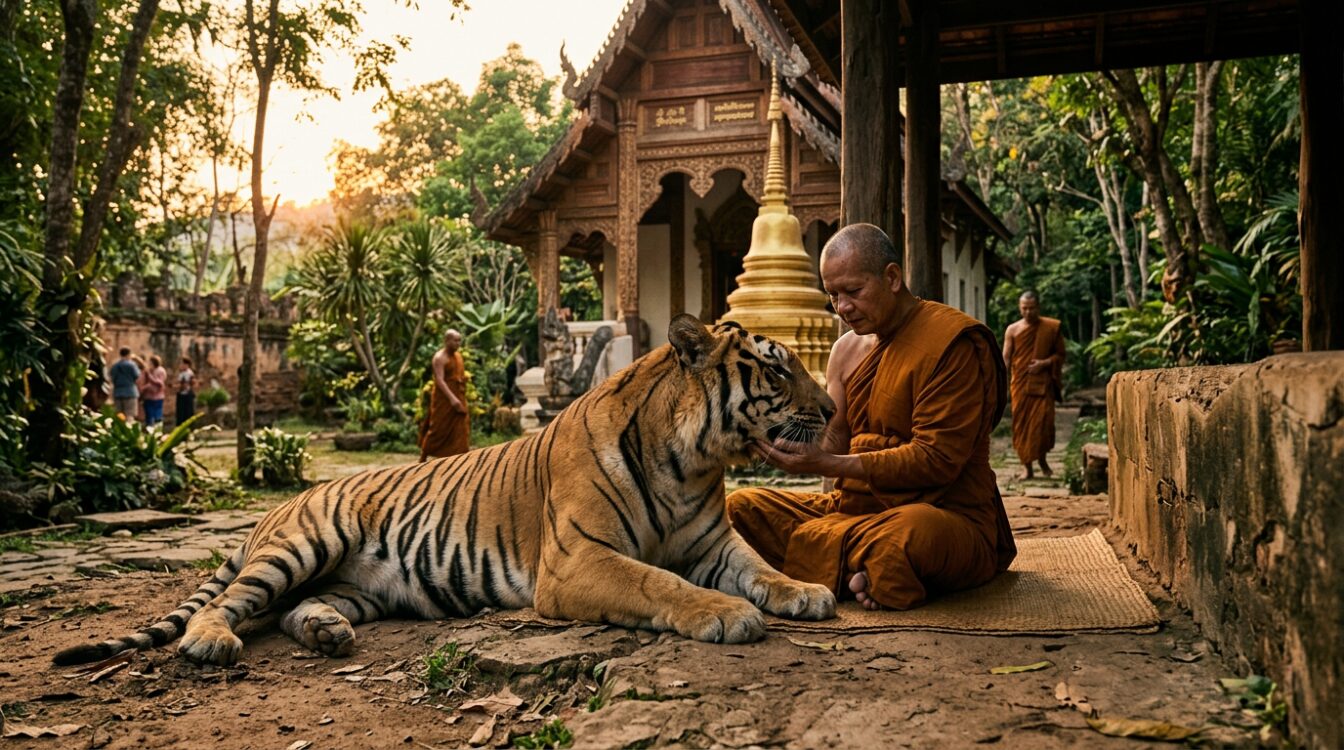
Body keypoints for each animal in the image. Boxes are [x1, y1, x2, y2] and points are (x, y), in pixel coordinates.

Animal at [54, 314, 838, 667]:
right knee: (226, 606)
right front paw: (725, 613)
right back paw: (213, 641)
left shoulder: (713, 542)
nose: (832, 409)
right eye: (778, 370)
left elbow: (760, 567)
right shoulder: (576, 561)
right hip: (304, 545)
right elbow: (659, 582)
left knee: (289, 611)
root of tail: (280, 505)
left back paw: (326, 632)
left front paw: (804, 593)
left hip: (355, 585)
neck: (690, 459)